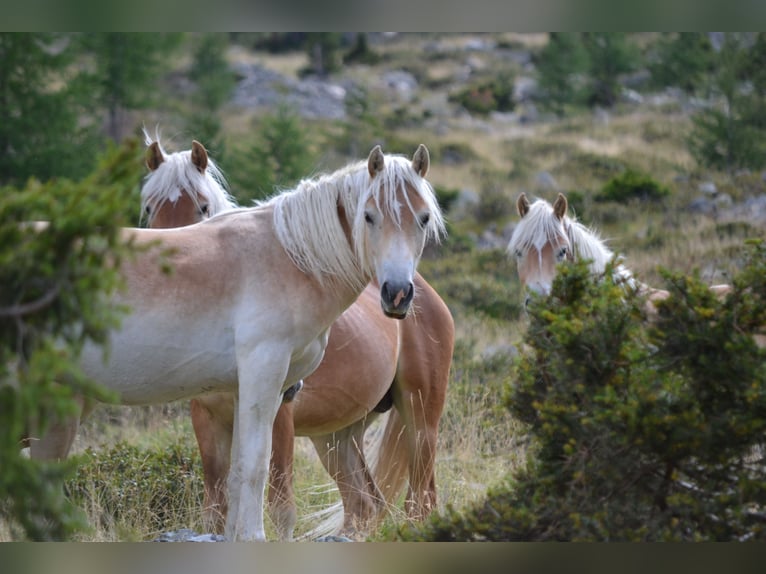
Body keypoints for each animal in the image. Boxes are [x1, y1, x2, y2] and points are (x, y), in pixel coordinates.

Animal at [29, 142, 446, 542]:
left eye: (423, 218)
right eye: (369, 216)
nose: (396, 294)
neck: (289, 257)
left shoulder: (259, 395)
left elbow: (241, 474)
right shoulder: (260, 380)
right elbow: (252, 470)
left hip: (401, 422)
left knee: (405, 501)